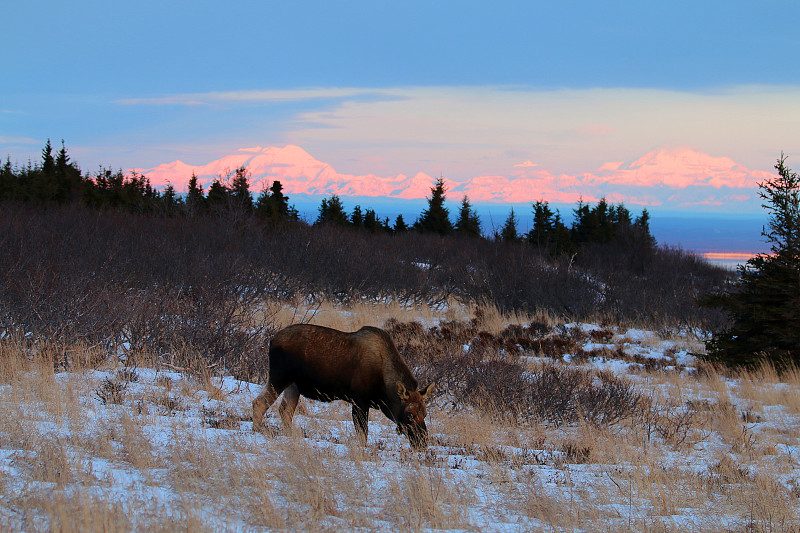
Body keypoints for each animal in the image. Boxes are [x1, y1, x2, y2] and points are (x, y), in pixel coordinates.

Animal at [253, 324, 434, 448]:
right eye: (409, 415)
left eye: (424, 413)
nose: (423, 442)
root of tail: (271, 341)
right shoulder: (359, 402)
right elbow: (362, 433)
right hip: (279, 377)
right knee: (259, 402)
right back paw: (256, 431)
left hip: (293, 386)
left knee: (285, 411)